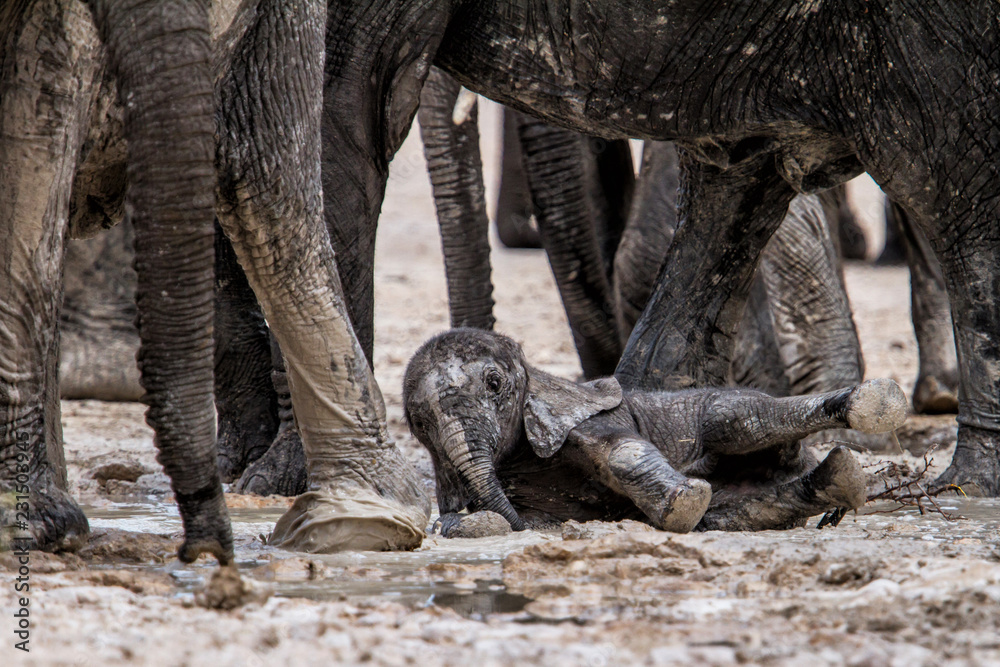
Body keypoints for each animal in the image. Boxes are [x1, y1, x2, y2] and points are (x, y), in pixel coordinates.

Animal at [402, 329, 907, 534]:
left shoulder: (585, 415)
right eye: (418, 422)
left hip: (730, 415)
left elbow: (621, 450)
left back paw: (874, 403)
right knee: (738, 510)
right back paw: (840, 480)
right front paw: (477, 523)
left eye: (494, 384)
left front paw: (684, 502)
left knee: (740, 421)